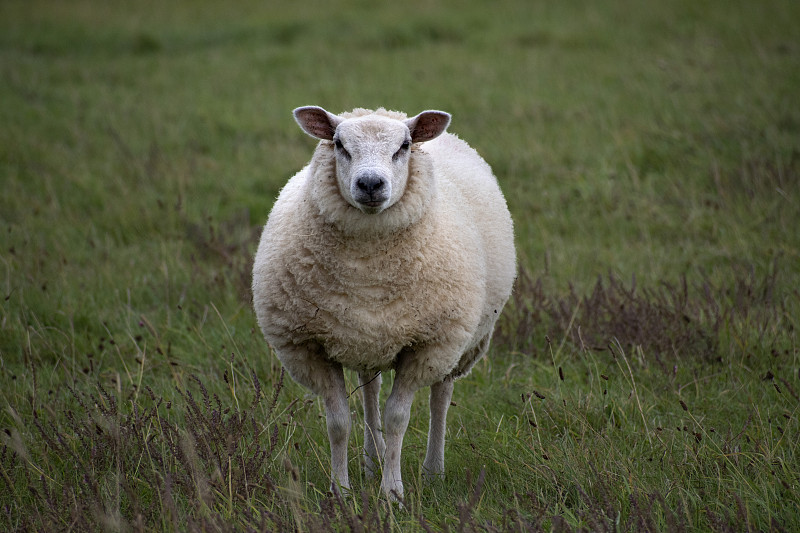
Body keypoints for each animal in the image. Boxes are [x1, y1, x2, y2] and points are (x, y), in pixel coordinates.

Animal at [255, 105, 520, 498]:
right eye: (339, 144)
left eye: (404, 146)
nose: (370, 184)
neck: (367, 271)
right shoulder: (310, 346)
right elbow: (338, 422)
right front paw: (340, 490)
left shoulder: (426, 346)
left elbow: (397, 419)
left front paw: (392, 492)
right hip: (367, 337)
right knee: (370, 389)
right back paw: (371, 459)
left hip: (457, 340)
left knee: (441, 395)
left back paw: (432, 469)